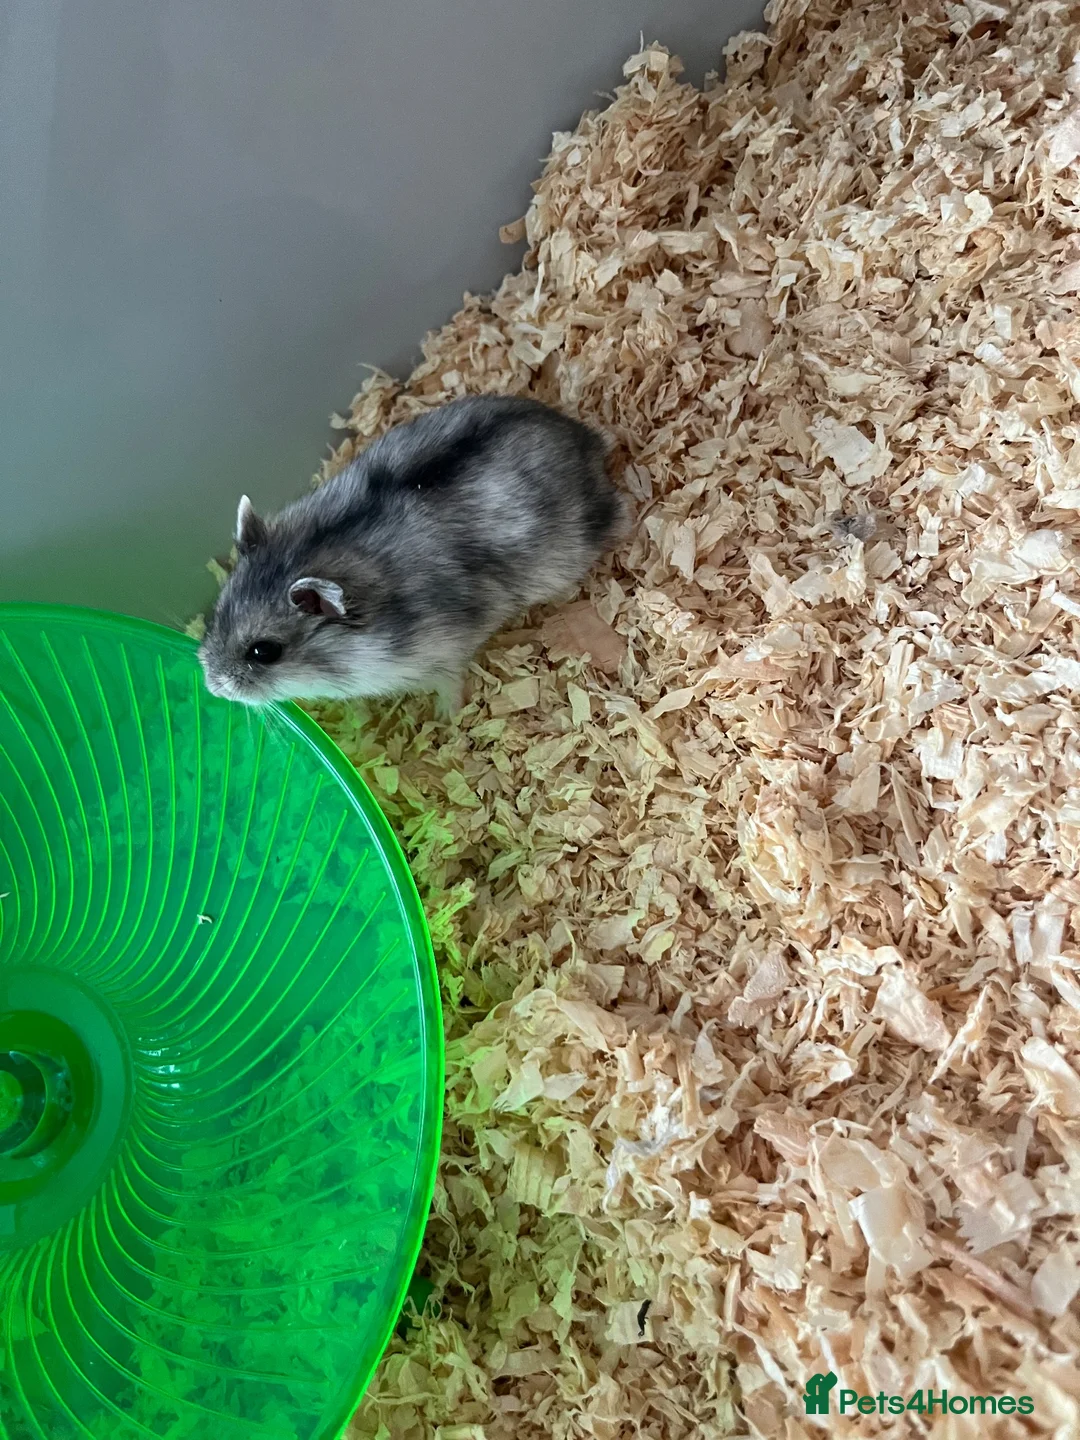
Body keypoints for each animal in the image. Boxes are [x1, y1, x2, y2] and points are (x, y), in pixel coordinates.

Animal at [198, 394, 627, 713]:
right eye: (214, 614)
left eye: (264, 652)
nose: (212, 686)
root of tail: (588, 439)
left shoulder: (445, 655)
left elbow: (450, 686)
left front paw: (449, 720)